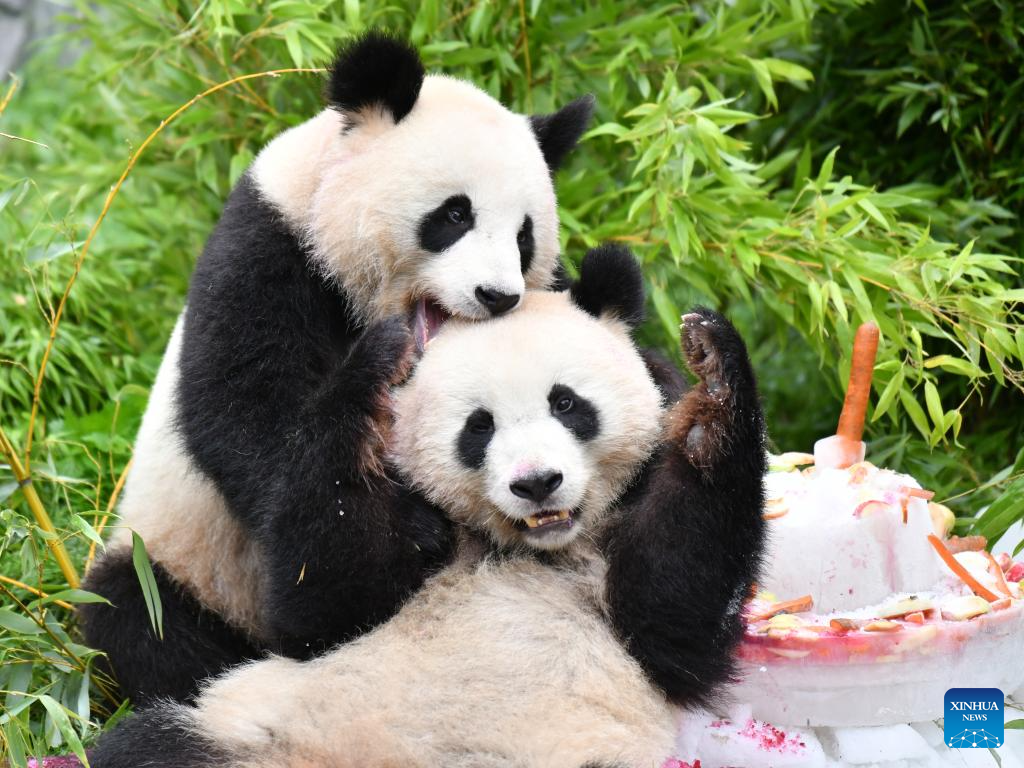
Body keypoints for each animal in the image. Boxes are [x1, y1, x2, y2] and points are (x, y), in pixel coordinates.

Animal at [79, 28, 598, 704]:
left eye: (524, 235)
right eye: (455, 215)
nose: (498, 296)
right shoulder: (267, 252)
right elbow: (246, 416)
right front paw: (405, 530)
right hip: (180, 557)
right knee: (138, 616)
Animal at [94, 246, 770, 768]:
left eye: (567, 403)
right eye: (479, 426)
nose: (537, 483)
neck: (525, 548)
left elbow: (671, 610)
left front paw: (713, 384)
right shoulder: (396, 542)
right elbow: (322, 606)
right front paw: (374, 370)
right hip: (247, 727)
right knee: (146, 740)